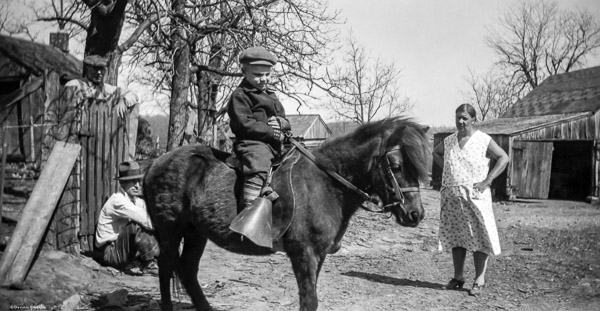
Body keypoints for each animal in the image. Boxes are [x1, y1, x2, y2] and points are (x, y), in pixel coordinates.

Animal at [145, 117, 432, 311]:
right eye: (396, 165)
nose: (415, 214)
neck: (325, 183)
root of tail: (156, 163)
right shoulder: (303, 253)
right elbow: (309, 300)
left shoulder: (318, 255)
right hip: (171, 230)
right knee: (166, 267)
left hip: (195, 233)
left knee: (187, 270)